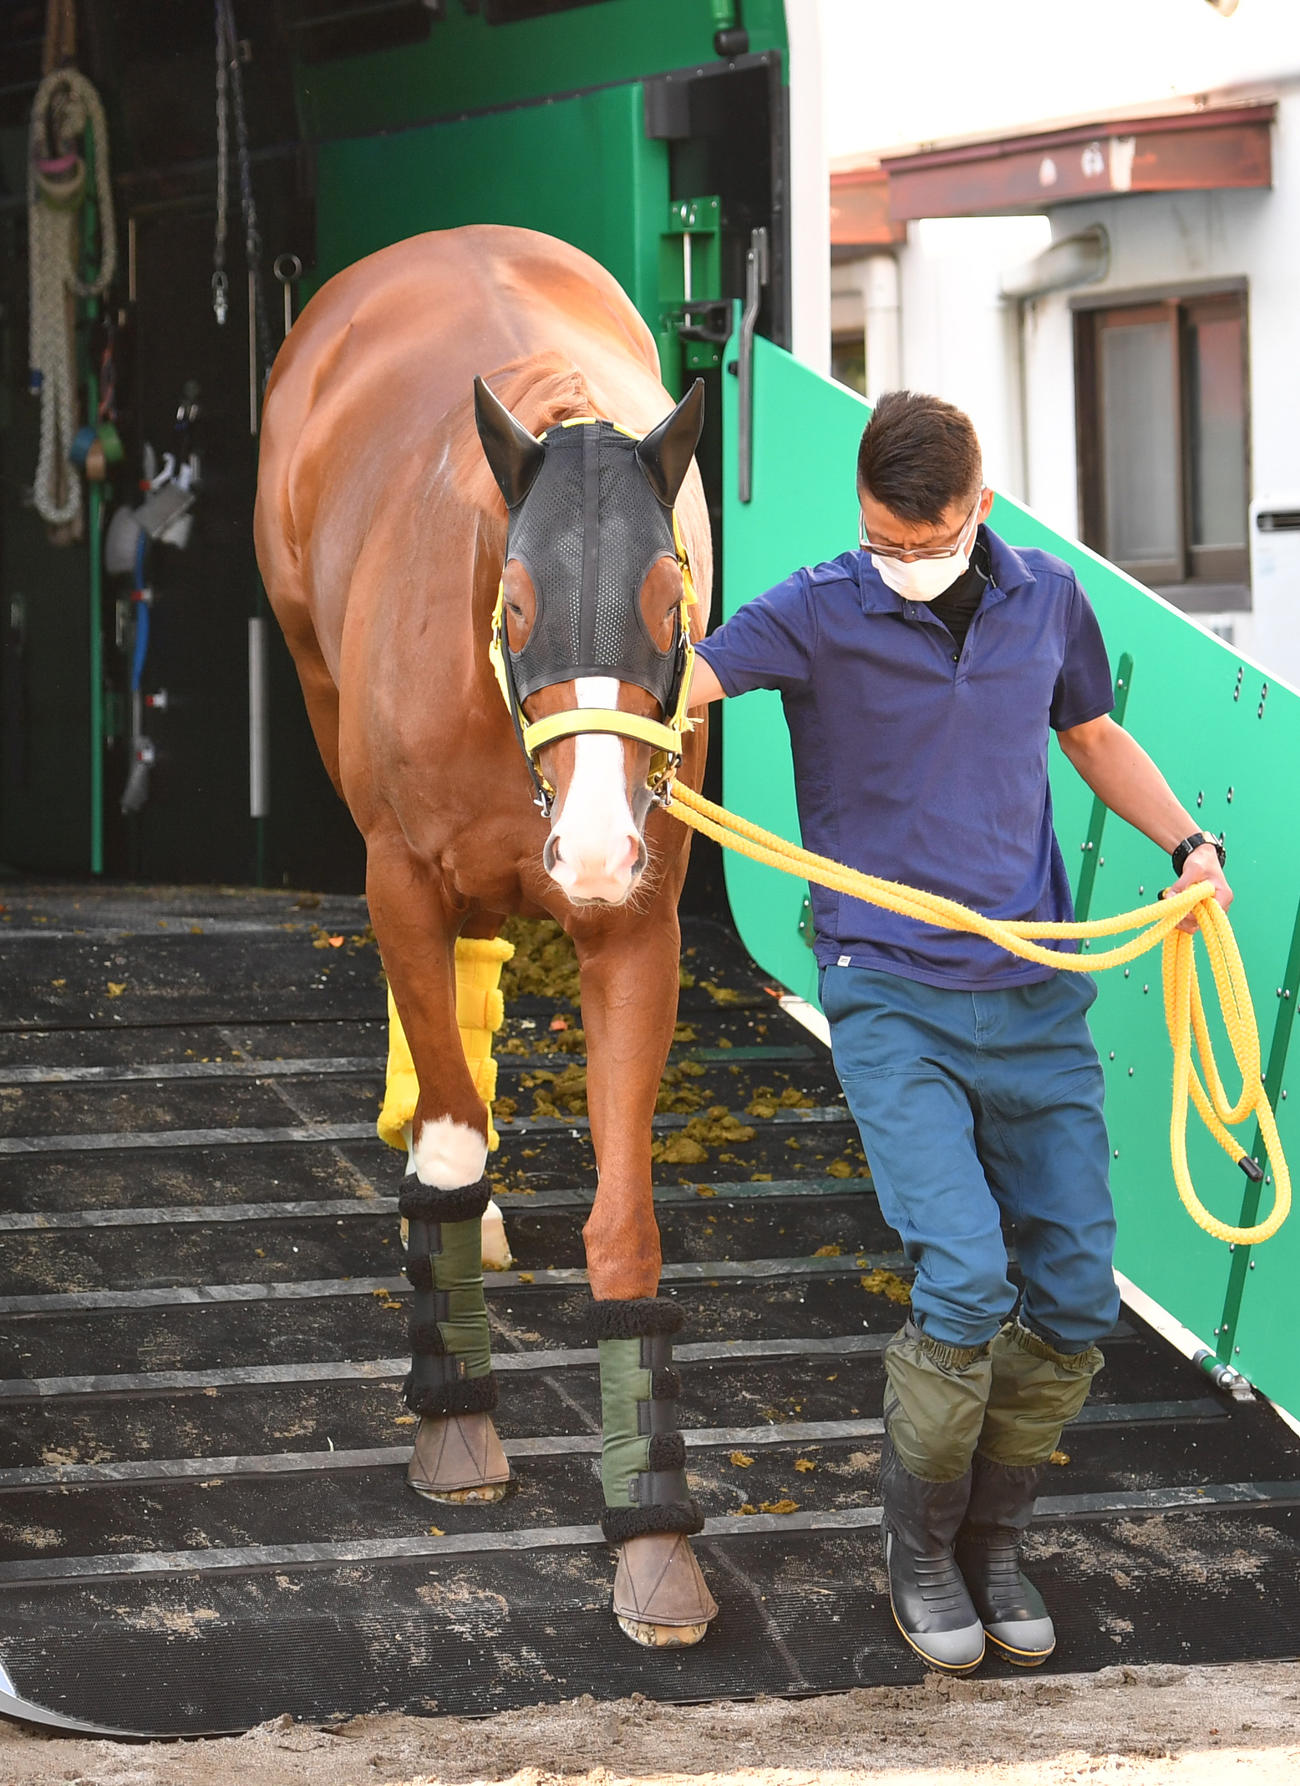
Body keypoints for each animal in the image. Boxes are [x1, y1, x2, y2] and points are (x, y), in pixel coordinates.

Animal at [253, 224, 717, 1645]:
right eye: (512, 605)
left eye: (670, 600)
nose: (596, 846)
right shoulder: (398, 878)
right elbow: (452, 1144)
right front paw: (456, 1424)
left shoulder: (637, 928)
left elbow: (627, 1229)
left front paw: (652, 1537)